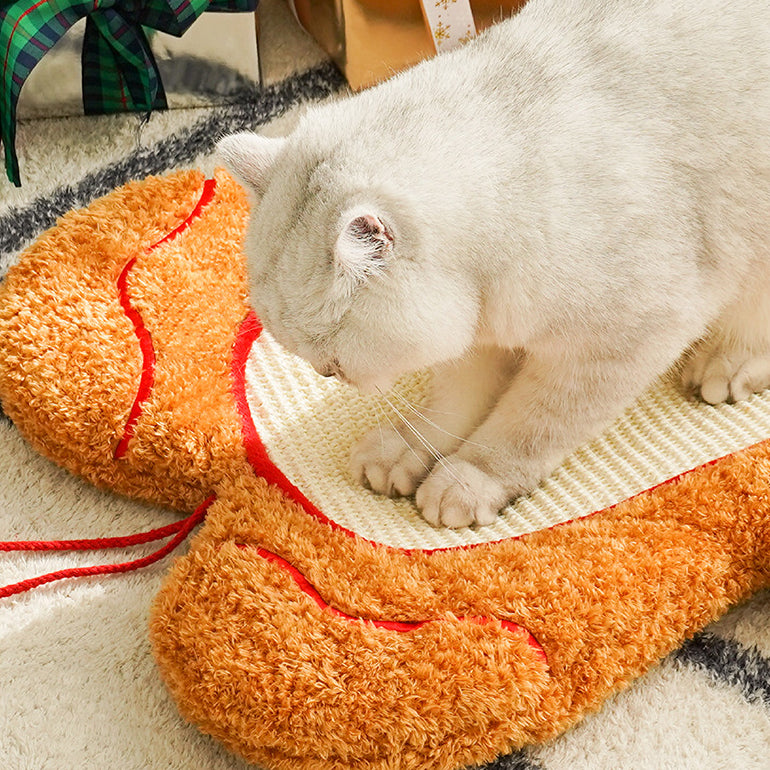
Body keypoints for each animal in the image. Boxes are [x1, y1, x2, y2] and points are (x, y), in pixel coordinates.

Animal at [216, 0, 768, 524]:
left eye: (329, 354)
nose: (326, 375)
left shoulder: (614, 348)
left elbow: (526, 427)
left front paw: (468, 482)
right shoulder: (478, 341)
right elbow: (449, 409)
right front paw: (404, 450)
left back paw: (725, 364)